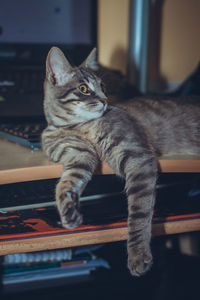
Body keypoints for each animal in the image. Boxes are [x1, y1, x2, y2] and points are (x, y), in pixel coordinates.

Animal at [41, 46, 199, 276]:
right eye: (83, 88)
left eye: (103, 86)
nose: (105, 99)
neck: (80, 127)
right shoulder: (79, 155)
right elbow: (66, 183)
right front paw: (68, 212)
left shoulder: (138, 157)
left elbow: (139, 213)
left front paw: (138, 255)